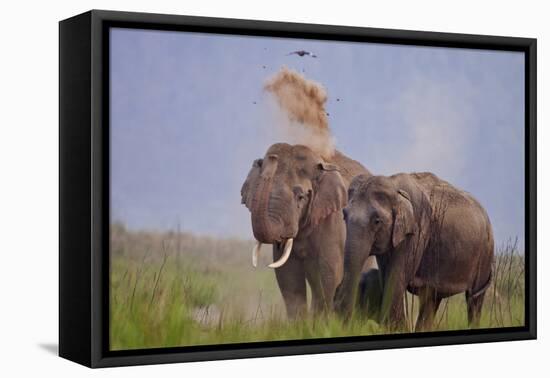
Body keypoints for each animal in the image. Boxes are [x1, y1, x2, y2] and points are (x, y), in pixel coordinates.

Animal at [334, 172, 498, 330]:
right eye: (344, 215)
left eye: (377, 221)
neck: (395, 186)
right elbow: (386, 277)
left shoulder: (416, 230)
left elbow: (395, 279)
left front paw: (396, 327)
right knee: (431, 299)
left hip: (485, 251)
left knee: (474, 299)